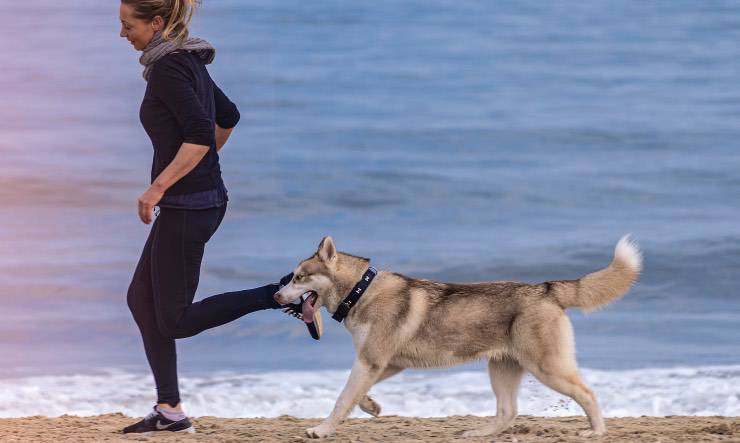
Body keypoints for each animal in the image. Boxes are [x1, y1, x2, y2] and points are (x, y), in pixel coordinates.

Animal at [276, 234, 640, 438]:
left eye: (299, 277)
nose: (277, 297)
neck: (361, 291)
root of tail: (547, 288)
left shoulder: (371, 360)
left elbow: (341, 399)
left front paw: (321, 430)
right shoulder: (383, 363)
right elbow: (357, 394)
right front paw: (371, 406)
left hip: (547, 368)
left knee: (588, 394)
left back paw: (596, 431)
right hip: (502, 368)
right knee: (508, 412)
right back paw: (478, 432)